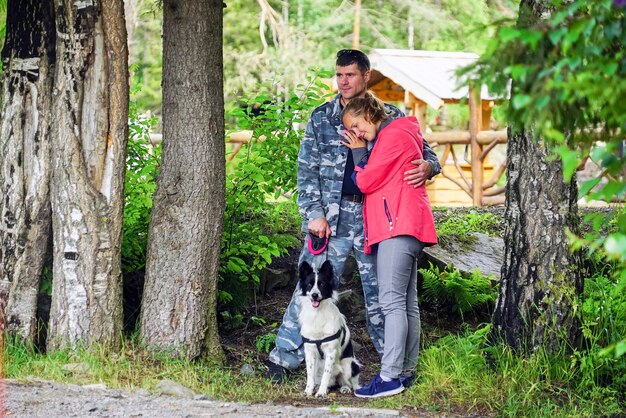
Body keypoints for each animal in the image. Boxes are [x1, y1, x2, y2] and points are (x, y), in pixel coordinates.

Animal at [298, 258, 360, 398]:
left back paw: (343, 388)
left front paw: (321, 393)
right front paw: (308, 391)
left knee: (347, 382)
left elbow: (326, 375)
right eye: (309, 285)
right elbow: (310, 375)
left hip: (349, 364)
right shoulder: (309, 351)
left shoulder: (331, 352)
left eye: (322, 284)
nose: (315, 295)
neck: (317, 314)